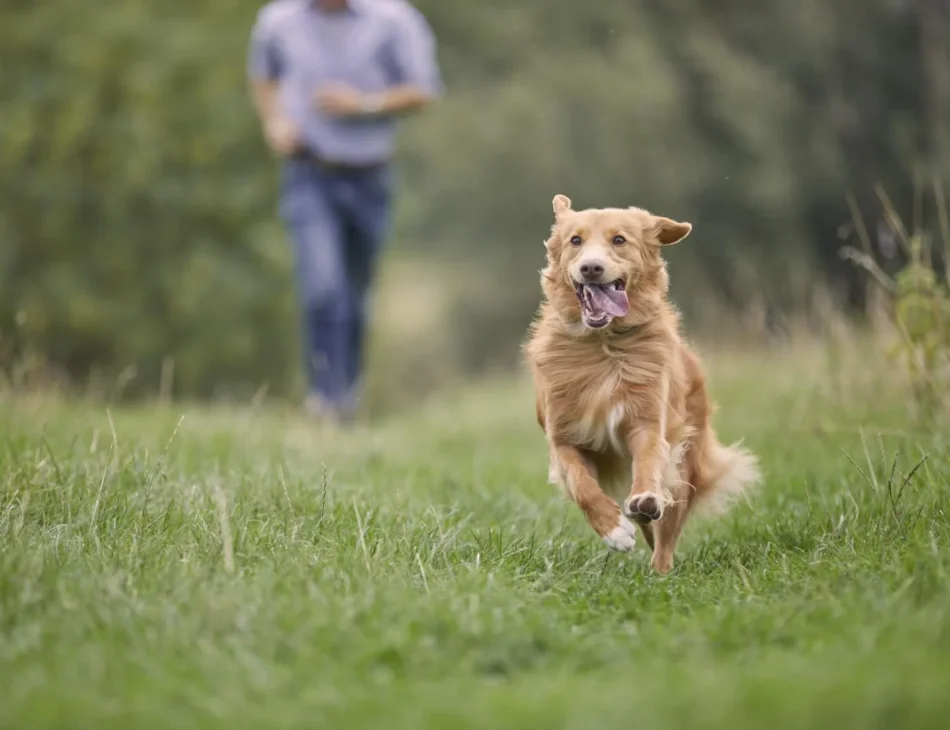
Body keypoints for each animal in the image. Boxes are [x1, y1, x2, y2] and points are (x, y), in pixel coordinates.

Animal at [524, 196, 764, 572]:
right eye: (575, 241)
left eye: (619, 240)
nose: (591, 268)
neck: (603, 343)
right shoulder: (563, 438)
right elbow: (582, 486)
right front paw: (614, 529)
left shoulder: (647, 422)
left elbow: (650, 462)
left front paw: (645, 498)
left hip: (684, 461)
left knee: (666, 530)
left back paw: (659, 568)